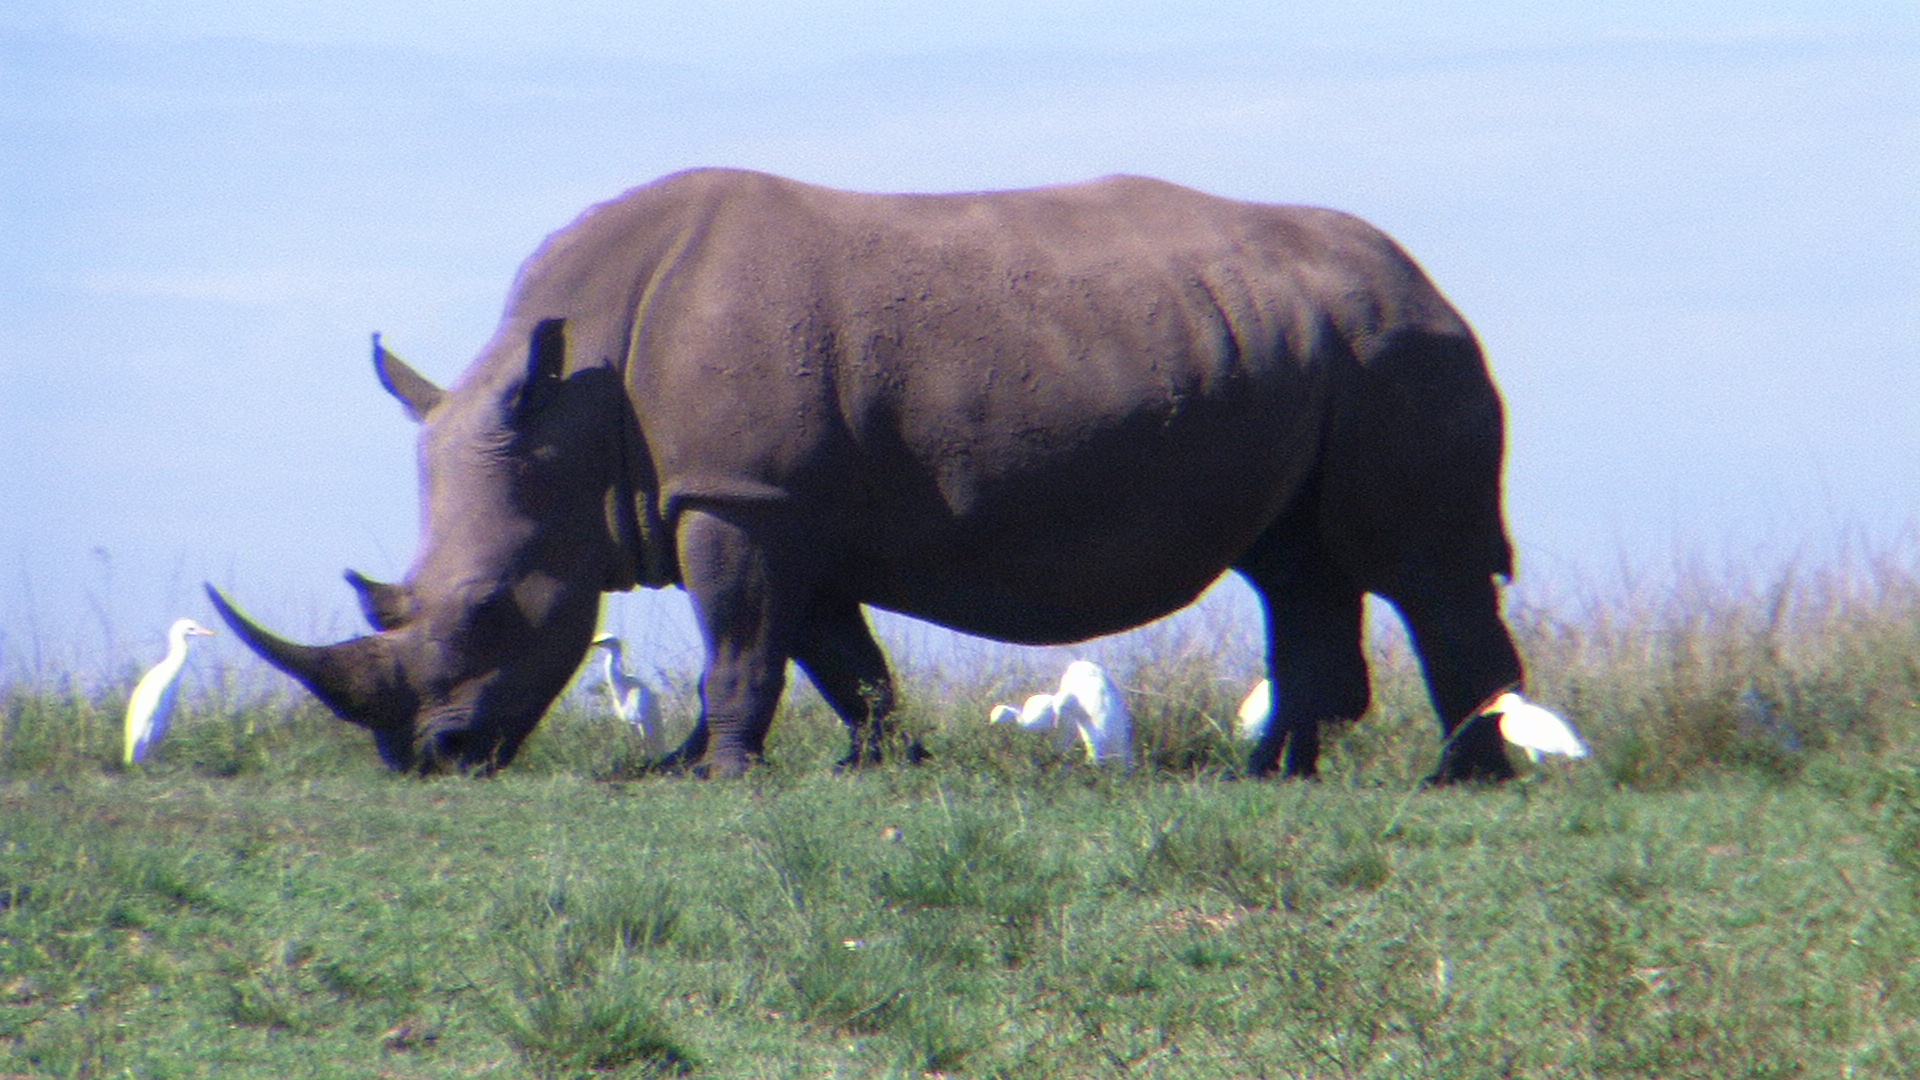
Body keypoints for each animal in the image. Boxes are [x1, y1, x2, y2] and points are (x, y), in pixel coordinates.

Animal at [209, 168, 1528, 782]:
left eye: (489, 610)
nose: (422, 760)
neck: (574, 402)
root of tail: (1429, 280)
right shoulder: (780, 505)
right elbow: (834, 653)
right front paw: (870, 765)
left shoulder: (735, 498)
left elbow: (744, 644)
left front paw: (715, 777)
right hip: (1303, 345)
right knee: (1296, 564)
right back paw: (1275, 776)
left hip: (1397, 348)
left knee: (1422, 567)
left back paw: (1455, 782)